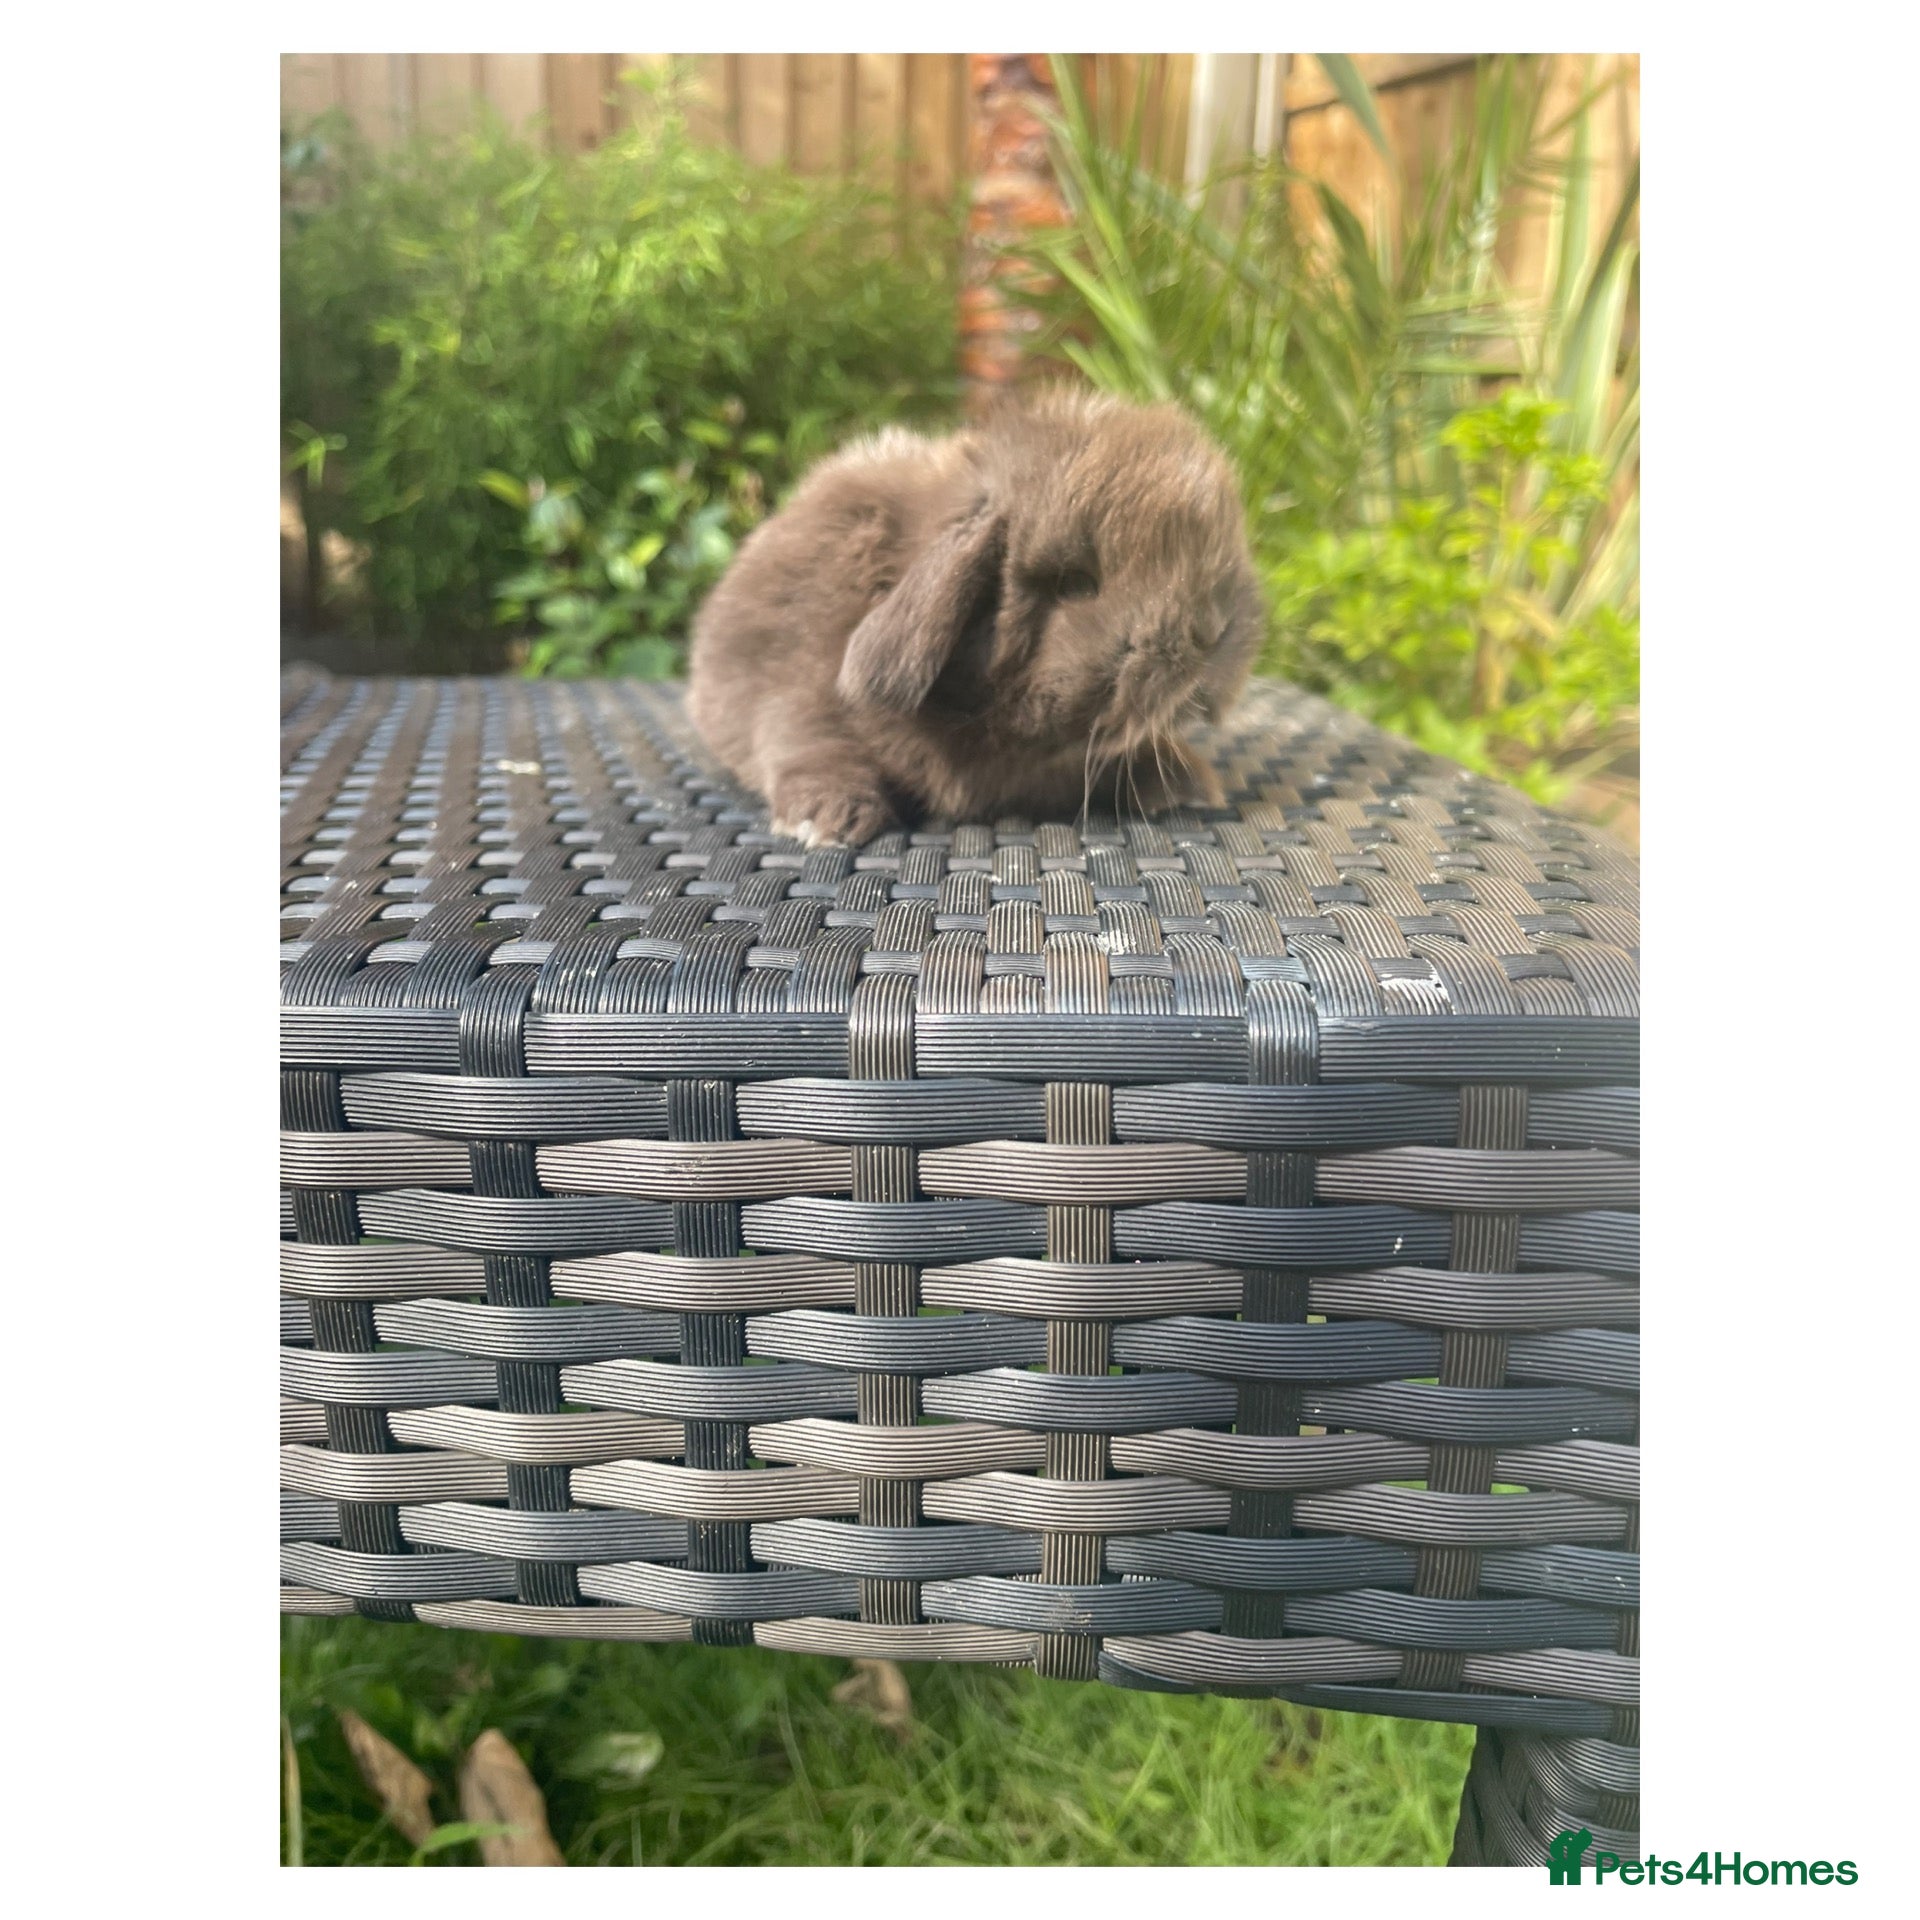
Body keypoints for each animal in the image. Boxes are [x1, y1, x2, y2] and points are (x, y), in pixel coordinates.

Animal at [686, 387, 1264, 846]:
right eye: (1075, 584)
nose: (1213, 631)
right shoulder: (795, 696)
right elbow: (810, 749)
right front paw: (826, 822)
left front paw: (1190, 785)